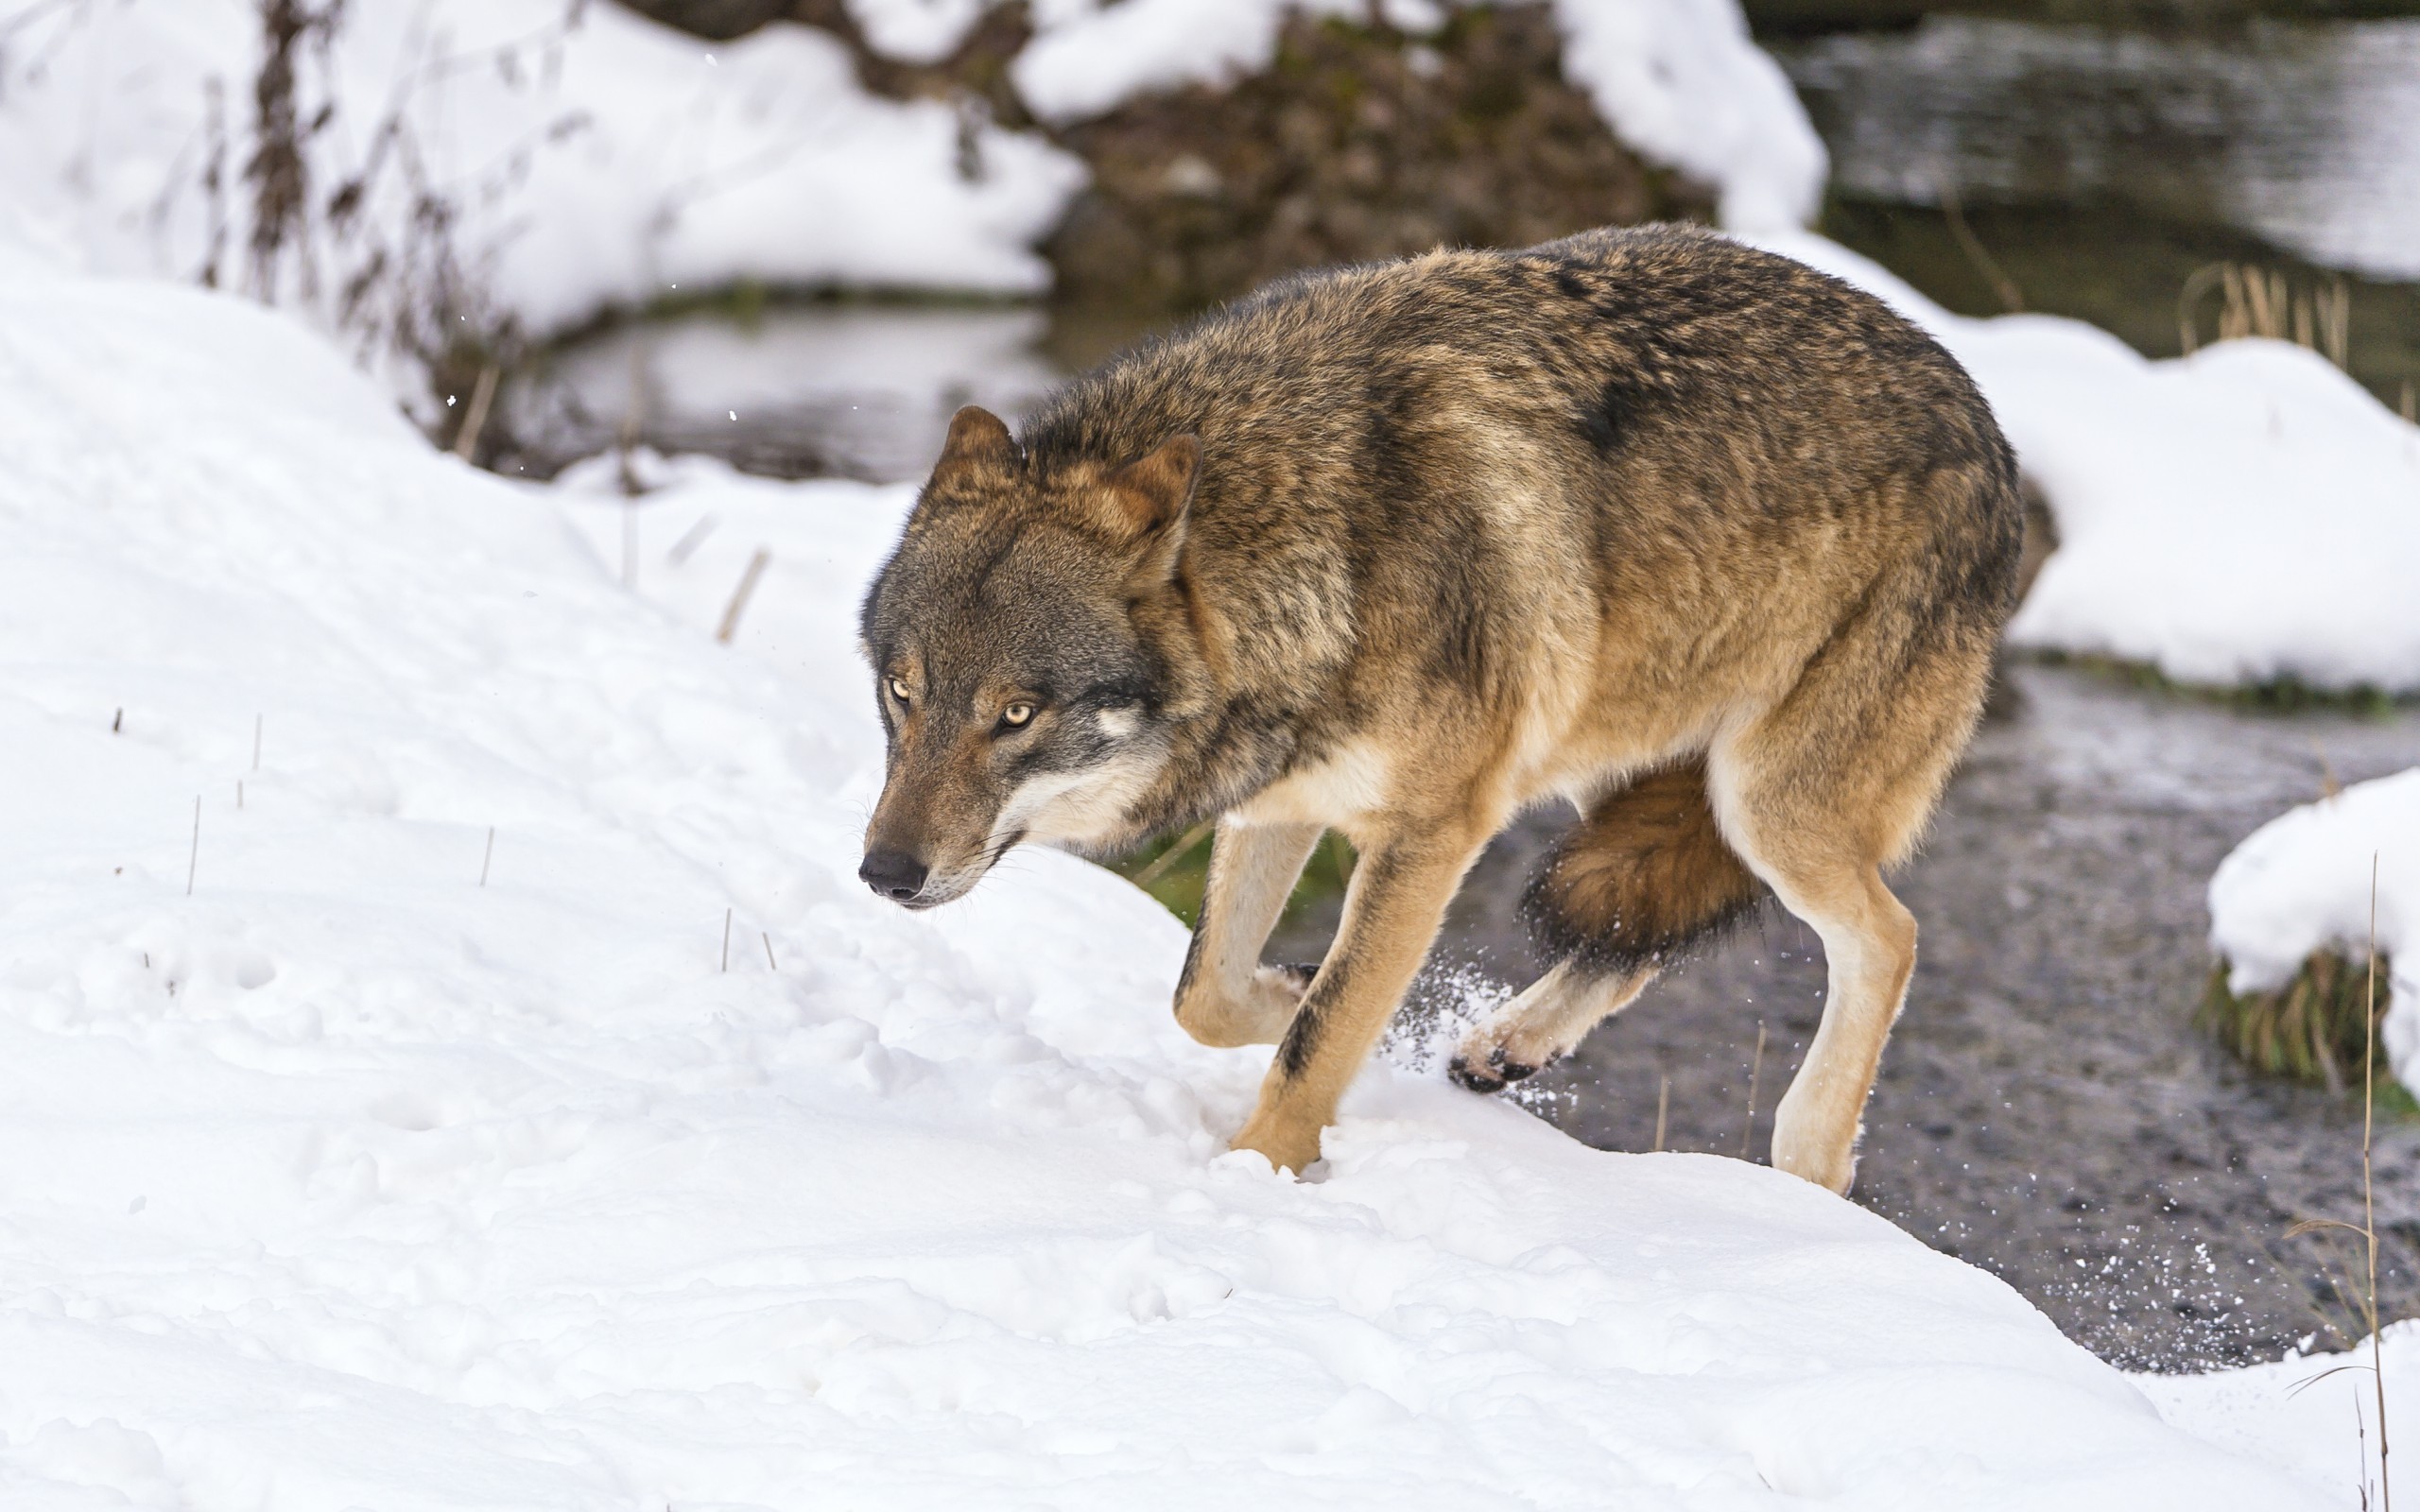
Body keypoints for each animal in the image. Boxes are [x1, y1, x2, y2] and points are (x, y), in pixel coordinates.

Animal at [856, 223, 2023, 1190]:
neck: (1321, 541)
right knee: (1638, 926)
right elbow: (1207, 997)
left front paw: (1253, 1179)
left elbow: (1316, 1040)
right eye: (902, 692)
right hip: (1616, 761)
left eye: (1016, 714)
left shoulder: (1432, 830)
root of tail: (1985, 416)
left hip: (1766, 804)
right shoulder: (1281, 800)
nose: (883, 874)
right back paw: (1509, 1044)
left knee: (1889, 937)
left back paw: (1809, 1163)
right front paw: (1295, 990)